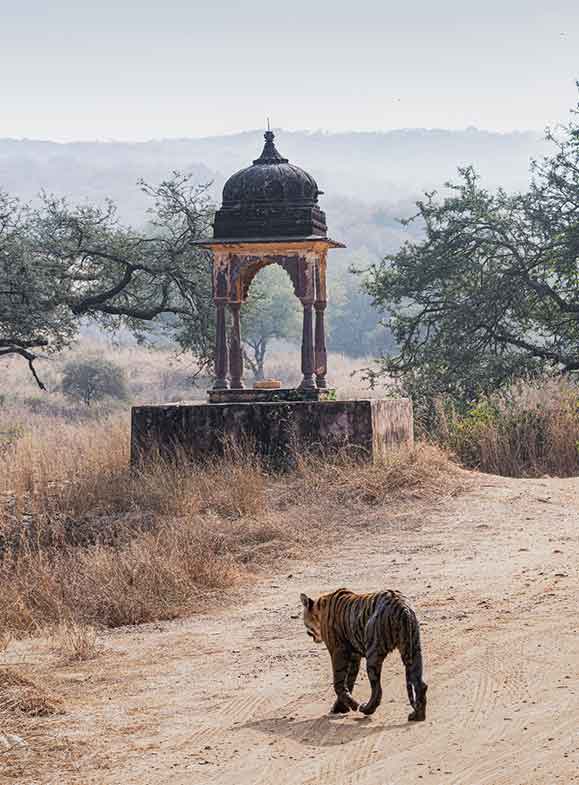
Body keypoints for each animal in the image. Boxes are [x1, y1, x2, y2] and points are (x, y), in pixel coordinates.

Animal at [302, 584, 428, 720]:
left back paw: (366, 709)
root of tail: (403, 607)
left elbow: (338, 683)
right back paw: (417, 715)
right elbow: (349, 680)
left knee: (377, 690)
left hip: (373, 654)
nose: (308, 633)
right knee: (420, 684)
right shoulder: (354, 656)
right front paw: (342, 707)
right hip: (413, 649)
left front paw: (351, 705)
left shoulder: (337, 651)